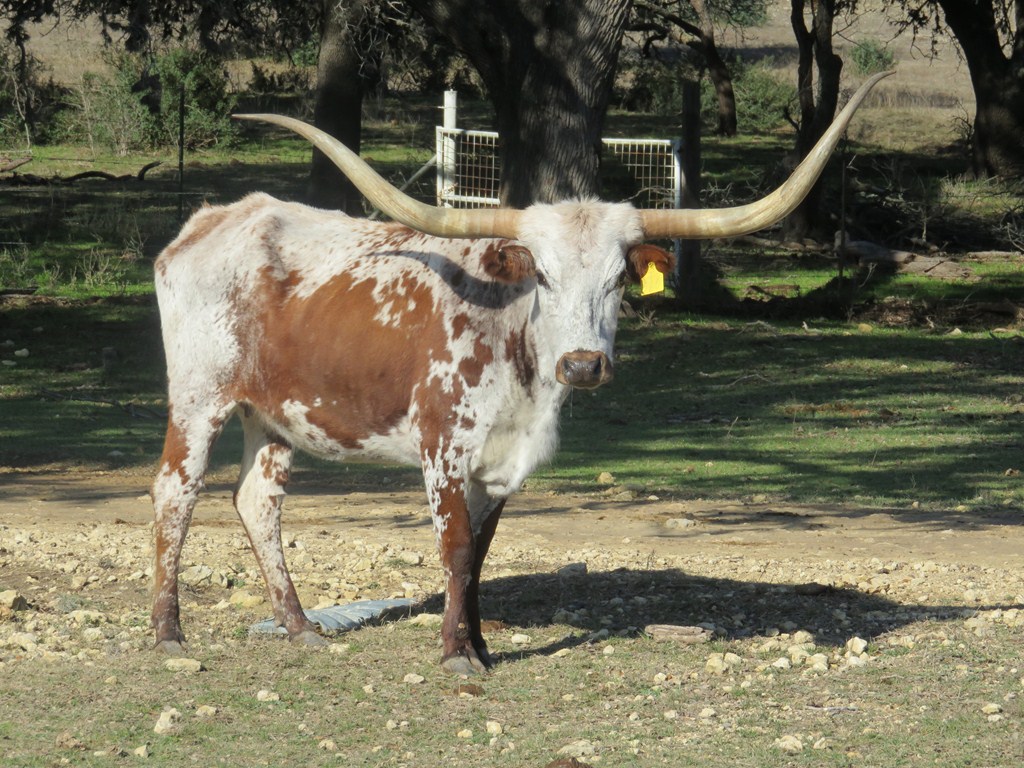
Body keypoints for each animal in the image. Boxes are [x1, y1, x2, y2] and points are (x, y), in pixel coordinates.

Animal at [150, 73, 889, 676]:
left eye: (619, 280)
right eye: (544, 275)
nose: (583, 364)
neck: (518, 359)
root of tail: (215, 218)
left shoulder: (503, 464)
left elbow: (479, 559)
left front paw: (479, 644)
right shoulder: (443, 448)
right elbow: (453, 548)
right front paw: (455, 655)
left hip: (273, 412)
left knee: (258, 500)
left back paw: (300, 626)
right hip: (199, 397)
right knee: (175, 494)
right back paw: (168, 635)